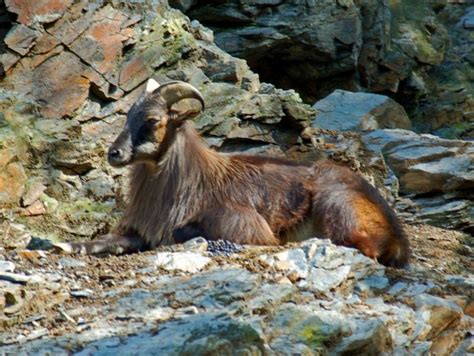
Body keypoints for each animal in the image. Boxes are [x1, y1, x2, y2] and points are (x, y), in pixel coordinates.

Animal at [55, 78, 410, 268]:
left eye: (153, 121)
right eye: (128, 116)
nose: (114, 154)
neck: (192, 182)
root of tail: (396, 236)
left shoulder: (240, 223)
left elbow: (185, 232)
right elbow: (107, 241)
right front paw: (64, 246)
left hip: (336, 206)